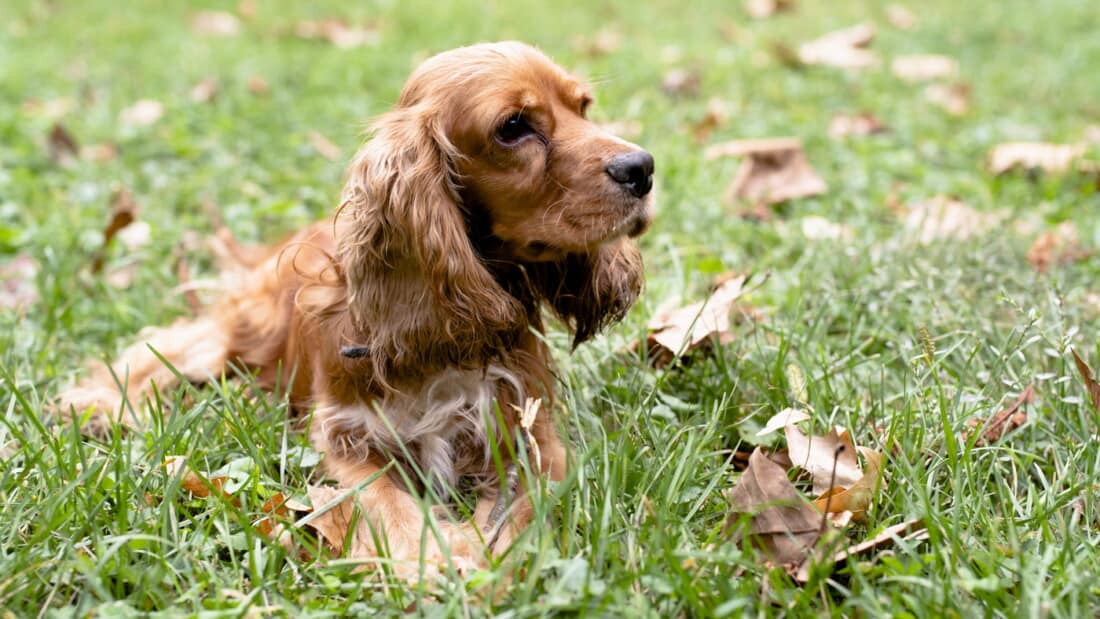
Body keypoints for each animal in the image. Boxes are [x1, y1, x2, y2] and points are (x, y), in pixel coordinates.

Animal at [58, 42, 651, 576]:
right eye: (512, 126)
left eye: (583, 107)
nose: (642, 167)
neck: (444, 333)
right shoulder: (349, 436)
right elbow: (382, 500)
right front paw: (430, 560)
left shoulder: (530, 432)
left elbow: (521, 507)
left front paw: (483, 561)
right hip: (236, 332)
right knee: (165, 349)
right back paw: (94, 404)